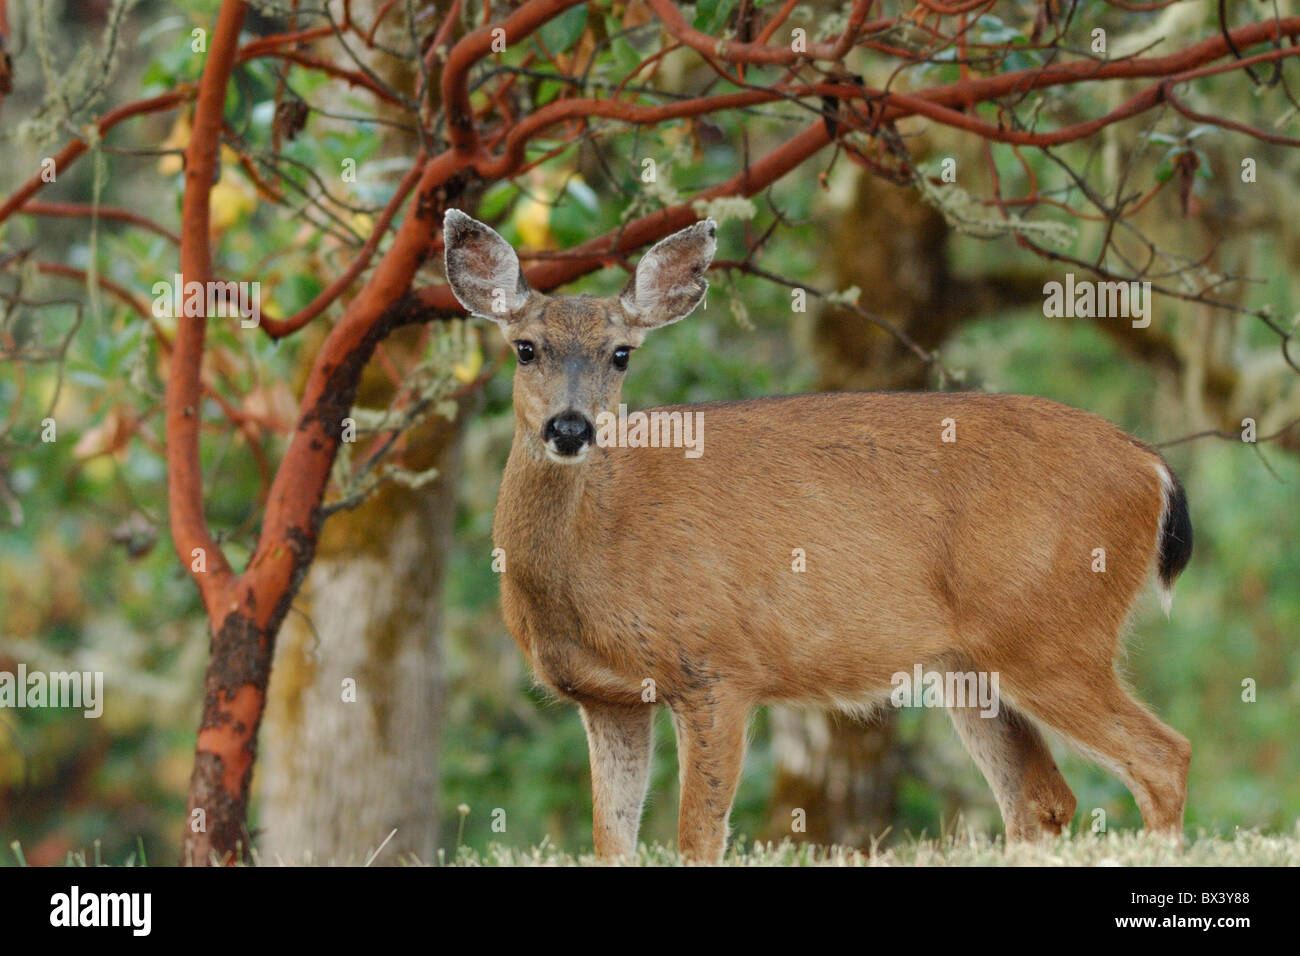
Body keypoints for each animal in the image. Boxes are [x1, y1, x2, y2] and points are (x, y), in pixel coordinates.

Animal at [441, 210, 1190, 868]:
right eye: (525, 348)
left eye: (621, 354)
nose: (570, 428)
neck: (597, 547)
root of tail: (1150, 466)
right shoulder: (610, 699)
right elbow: (610, 840)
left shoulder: (717, 666)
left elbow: (698, 837)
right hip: (972, 665)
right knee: (1042, 799)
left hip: (1052, 633)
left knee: (1164, 758)